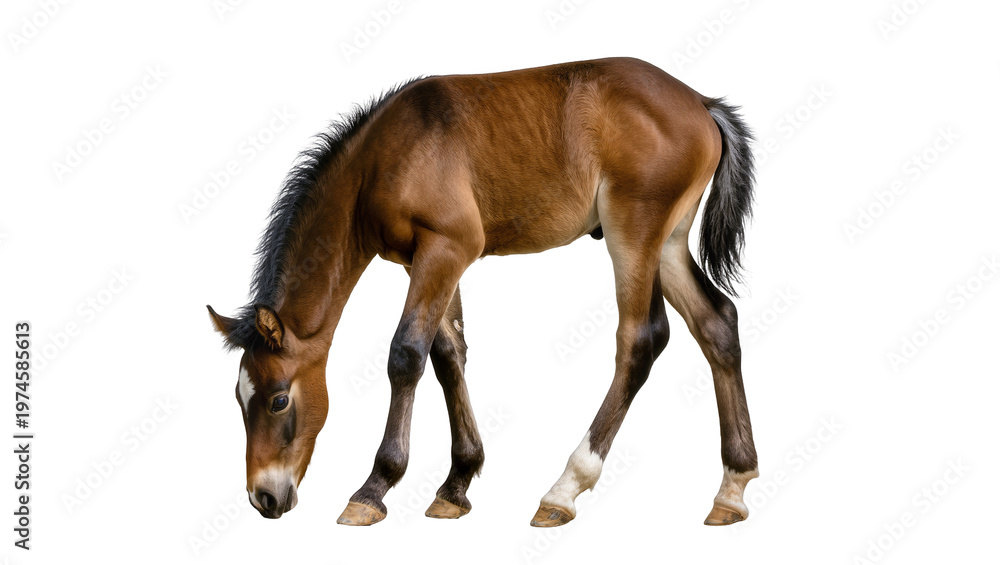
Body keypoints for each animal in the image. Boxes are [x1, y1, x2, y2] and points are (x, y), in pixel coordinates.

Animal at [208, 57, 759, 527]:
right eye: (238, 397)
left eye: (279, 400)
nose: (264, 498)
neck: (381, 158)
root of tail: (700, 103)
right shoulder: (425, 259)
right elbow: (448, 355)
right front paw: (456, 484)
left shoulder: (447, 246)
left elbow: (406, 355)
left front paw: (374, 488)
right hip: (668, 242)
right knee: (717, 323)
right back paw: (732, 489)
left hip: (633, 232)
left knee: (641, 339)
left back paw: (563, 489)